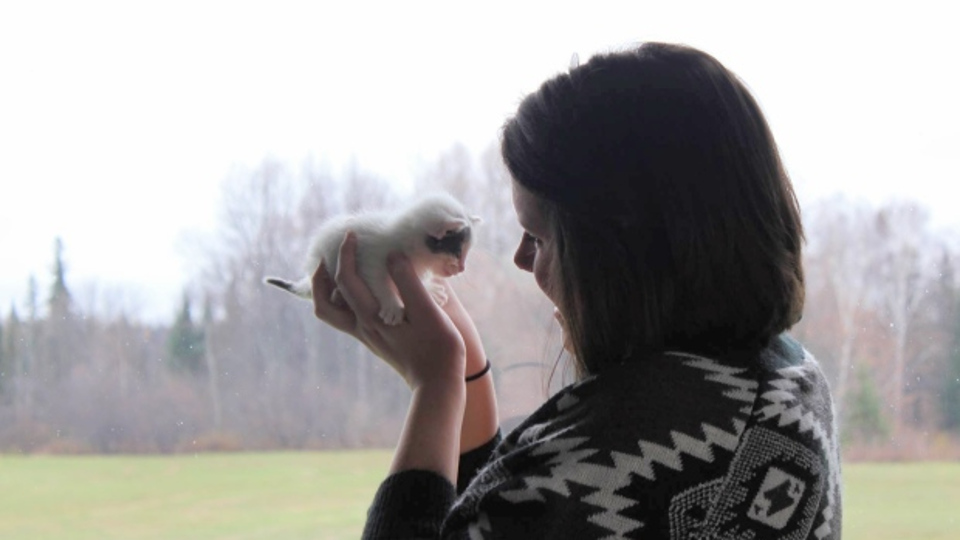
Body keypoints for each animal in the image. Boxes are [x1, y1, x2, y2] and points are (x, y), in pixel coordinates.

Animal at [264, 192, 478, 322]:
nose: (462, 268)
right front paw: (392, 306)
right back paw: (338, 295)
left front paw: (431, 290)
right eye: (458, 253)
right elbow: (378, 282)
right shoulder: (369, 257)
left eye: (466, 253)